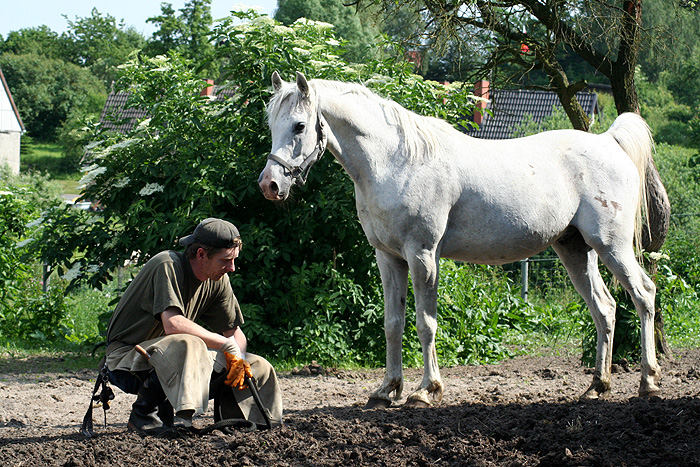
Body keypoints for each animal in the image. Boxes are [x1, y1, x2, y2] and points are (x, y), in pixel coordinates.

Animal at [260, 71, 664, 408]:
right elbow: (393, 324)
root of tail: (609, 142)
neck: (396, 162)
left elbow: (426, 324)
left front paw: (426, 391)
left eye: (299, 125)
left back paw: (649, 382)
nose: (270, 185)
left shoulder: (422, 255)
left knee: (643, 295)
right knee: (605, 308)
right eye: (271, 124)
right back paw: (597, 386)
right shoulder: (388, 258)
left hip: (612, 246)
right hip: (576, 250)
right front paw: (387, 389)